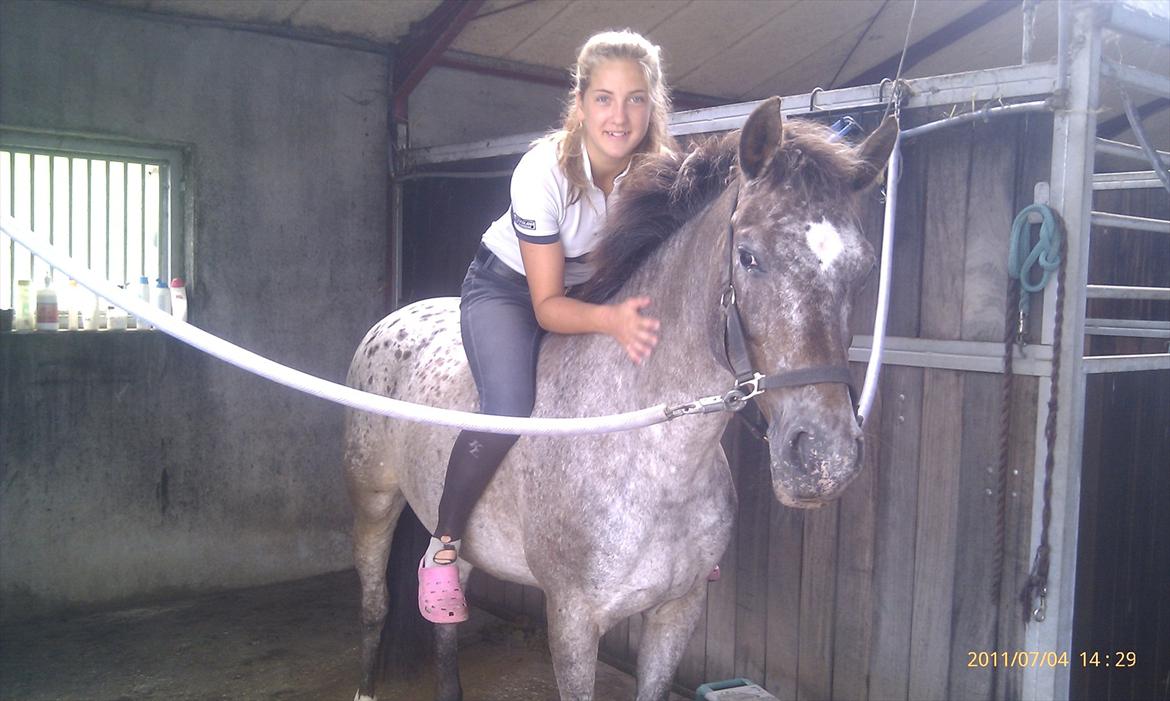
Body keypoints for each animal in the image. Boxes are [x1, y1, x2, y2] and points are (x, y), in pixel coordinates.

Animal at [343, 97, 897, 701]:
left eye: (866, 267)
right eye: (749, 257)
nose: (824, 459)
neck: (657, 460)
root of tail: (393, 319)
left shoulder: (677, 613)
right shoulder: (572, 623)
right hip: (374, 502)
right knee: (373, 602)